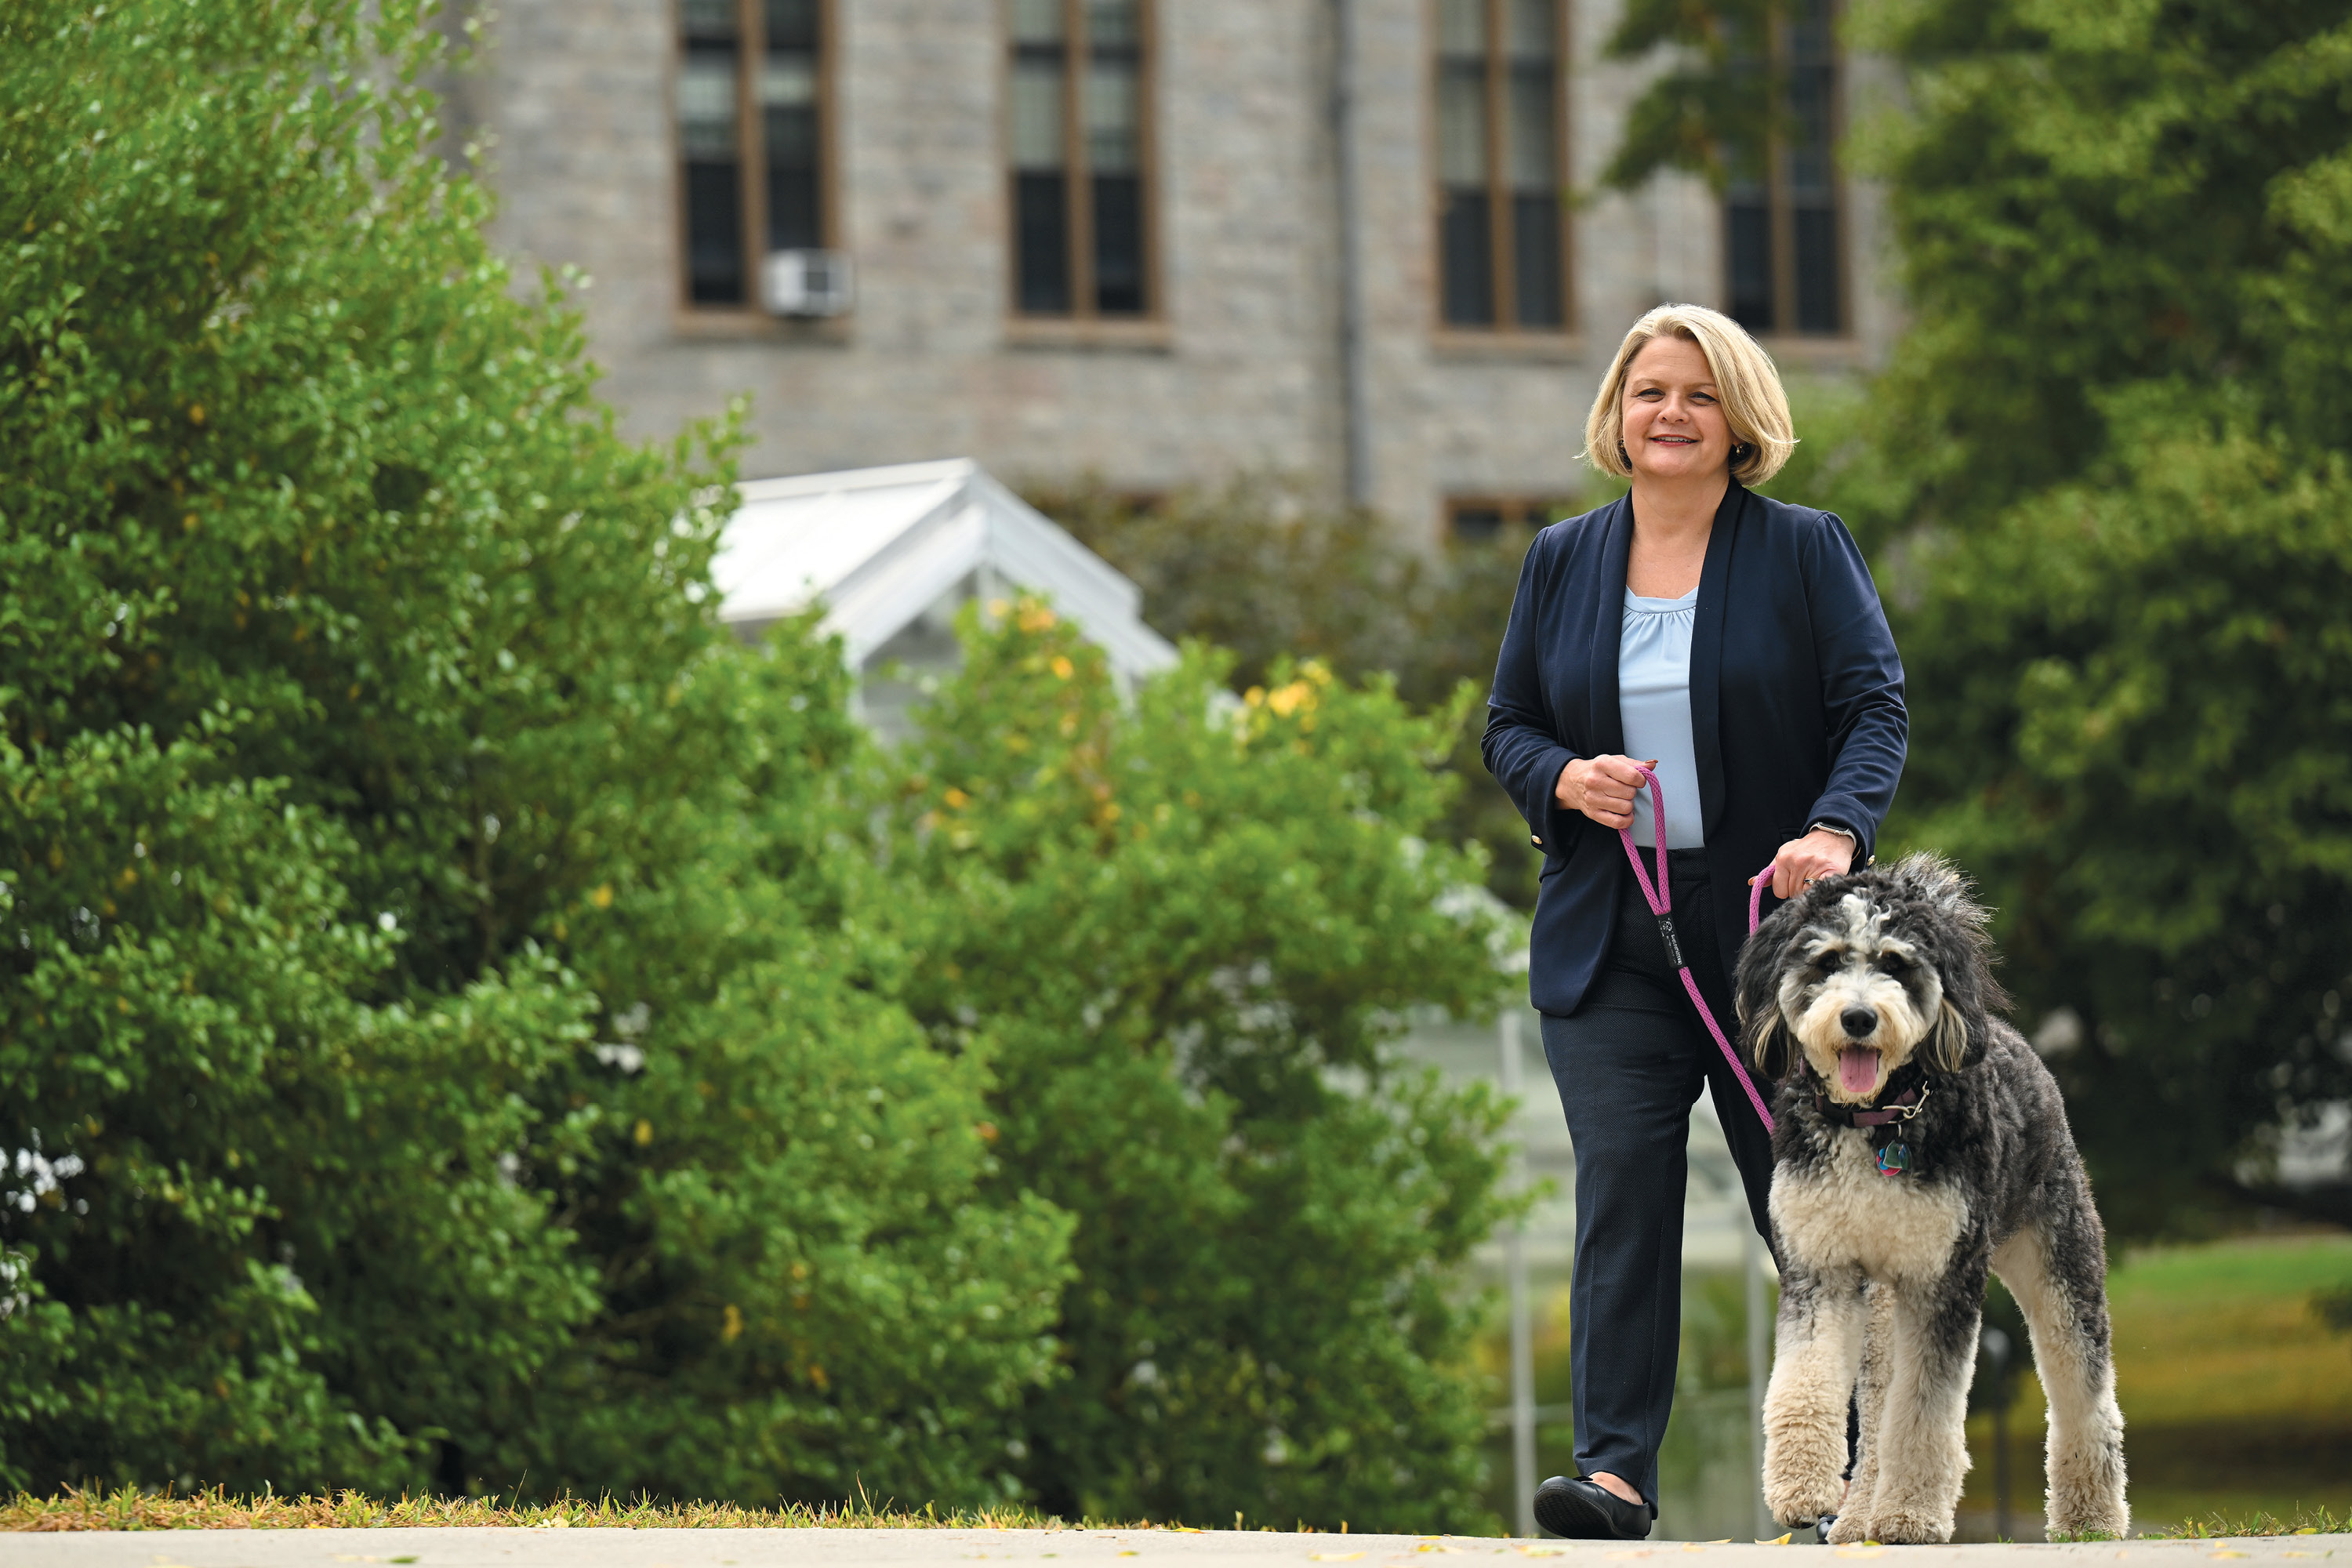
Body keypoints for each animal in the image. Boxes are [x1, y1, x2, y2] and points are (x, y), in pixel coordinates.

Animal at [1731, 860, 2136, 1542]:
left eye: (1896, 964)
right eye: (1827, 961)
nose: (1859, 1018)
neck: (1876, 1120)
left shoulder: (1942, 1279)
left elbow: (1924, 1411)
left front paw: (1910, 1514)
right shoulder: (1821, 1268)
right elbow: (1805, 1380)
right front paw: (1801, 1487)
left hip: (2059, 1262)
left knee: (2082, 1391)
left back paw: (2090, 1519)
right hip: (1879, 1305)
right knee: (1874, 1408)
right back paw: (1856, 1517)